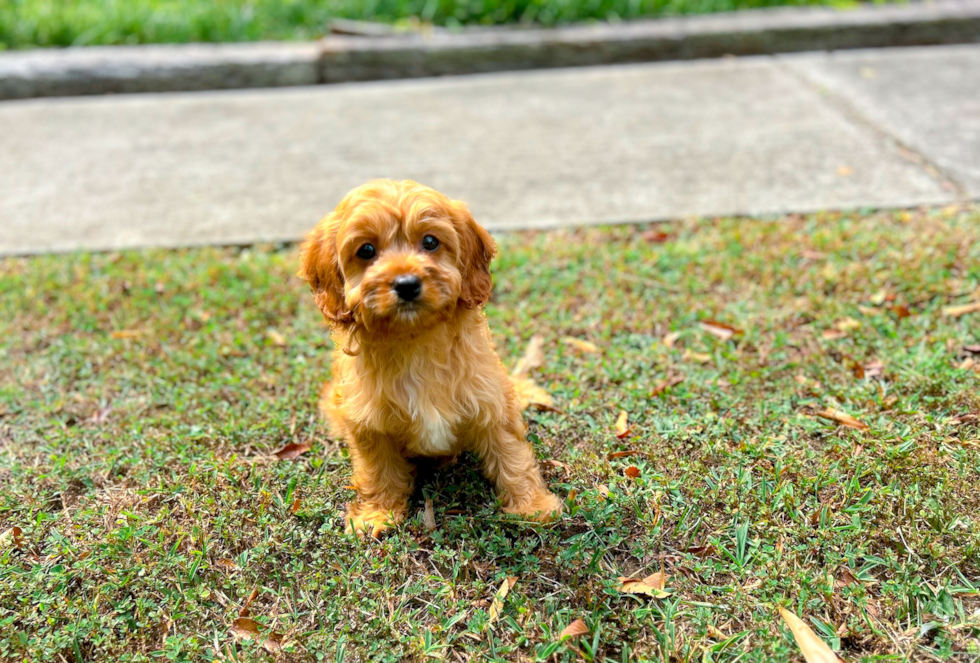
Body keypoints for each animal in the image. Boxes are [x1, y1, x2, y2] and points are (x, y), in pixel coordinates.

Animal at [294, 179, 564, 536]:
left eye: (430, 241)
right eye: (366, 250)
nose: (407, 284)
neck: (414, 340)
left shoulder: (492, 401)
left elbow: (512, 455)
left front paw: (533, 506)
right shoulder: (368, 423)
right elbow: (377, 470)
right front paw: (377, 514)